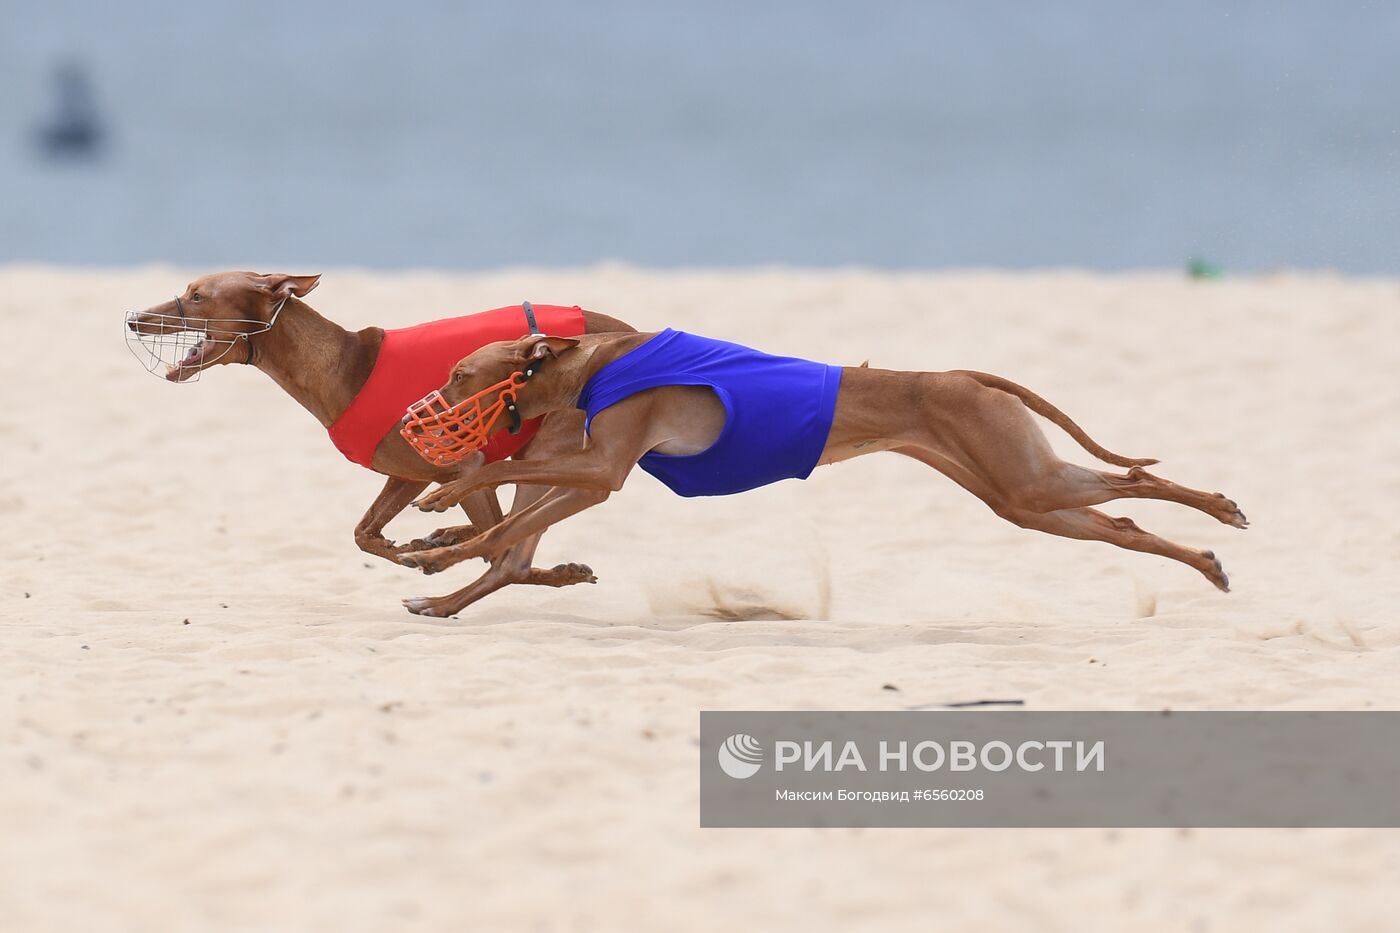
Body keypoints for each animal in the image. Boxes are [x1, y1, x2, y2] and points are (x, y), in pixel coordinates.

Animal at [126, 273, 641, 613]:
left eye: (197, 297)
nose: (134, 320)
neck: (344, 365)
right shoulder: (408, 475)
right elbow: (366, 535)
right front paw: (412, 548)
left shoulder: (467, 464)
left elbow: (497, 545)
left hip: (547, 442)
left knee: (513, 542)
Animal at [397, 323, 1248, 613]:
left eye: (460, 375)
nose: (413, 415)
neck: (597, 362)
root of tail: (960, 374)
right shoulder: (580, 470)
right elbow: (506, 541)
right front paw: (440, 563)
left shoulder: (602, 471)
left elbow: (489, 508)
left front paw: (439, 515)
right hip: (1020, 496)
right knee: (1125, 517)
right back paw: (1208, 561)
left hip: (1022, 477)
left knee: (1137, 482)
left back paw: (1222, 510)